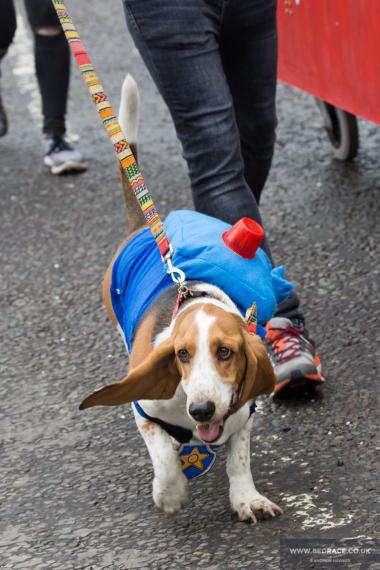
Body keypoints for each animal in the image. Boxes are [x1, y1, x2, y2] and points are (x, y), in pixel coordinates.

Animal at [80, 74, 282, 520]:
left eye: (225, 352)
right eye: (181, 355)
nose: (201, 411)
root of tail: (142, 229)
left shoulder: (243, 416)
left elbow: (238, 458)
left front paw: (247, 498)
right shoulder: (143, 412)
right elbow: (165, 459)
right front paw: (170, 494)